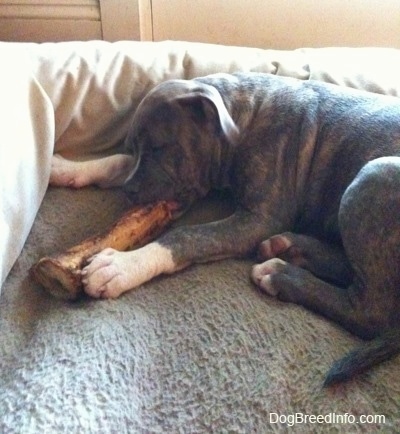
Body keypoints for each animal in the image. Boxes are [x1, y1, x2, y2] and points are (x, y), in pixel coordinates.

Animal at [51, 73, 400, 384]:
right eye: (134, 147)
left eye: (160, 148)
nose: (128, 192)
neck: (242, 119)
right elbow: (116, 162)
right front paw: (68, 168)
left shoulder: (259, 218)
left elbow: (185, 236)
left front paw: (122, 267)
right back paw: (290, 249)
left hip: (374, 175)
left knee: (369, 311)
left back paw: (281, 275)